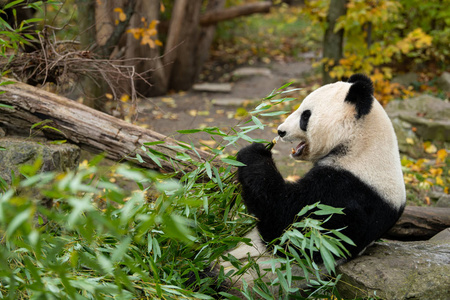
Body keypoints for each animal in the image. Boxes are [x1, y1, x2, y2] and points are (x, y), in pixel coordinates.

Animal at [216, 74, 406, 294]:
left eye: (305, 116)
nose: (280, 131)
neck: (361, 144)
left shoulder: (349, 194)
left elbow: (287, 223)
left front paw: (254, 152)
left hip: (253, 279)